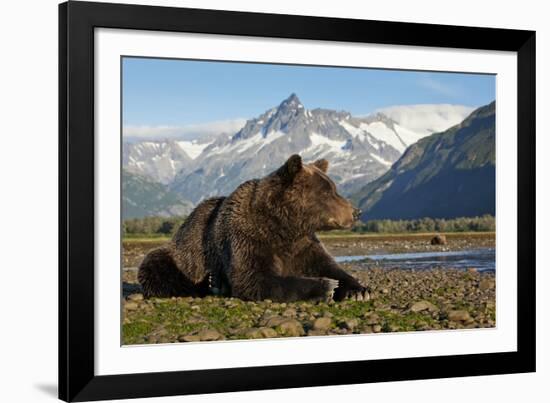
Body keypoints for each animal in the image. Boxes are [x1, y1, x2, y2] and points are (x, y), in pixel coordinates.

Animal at [138, 155, 370, 304]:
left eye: (334, 188)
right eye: (327, 192)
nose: (356, 212)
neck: (286, 226)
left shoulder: (303, 244)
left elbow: (328, 265)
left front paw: (359, 290)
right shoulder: (248, 238)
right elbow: (254, 278)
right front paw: (326, 286)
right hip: (182, 254)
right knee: (158, 268)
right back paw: (212, 284)